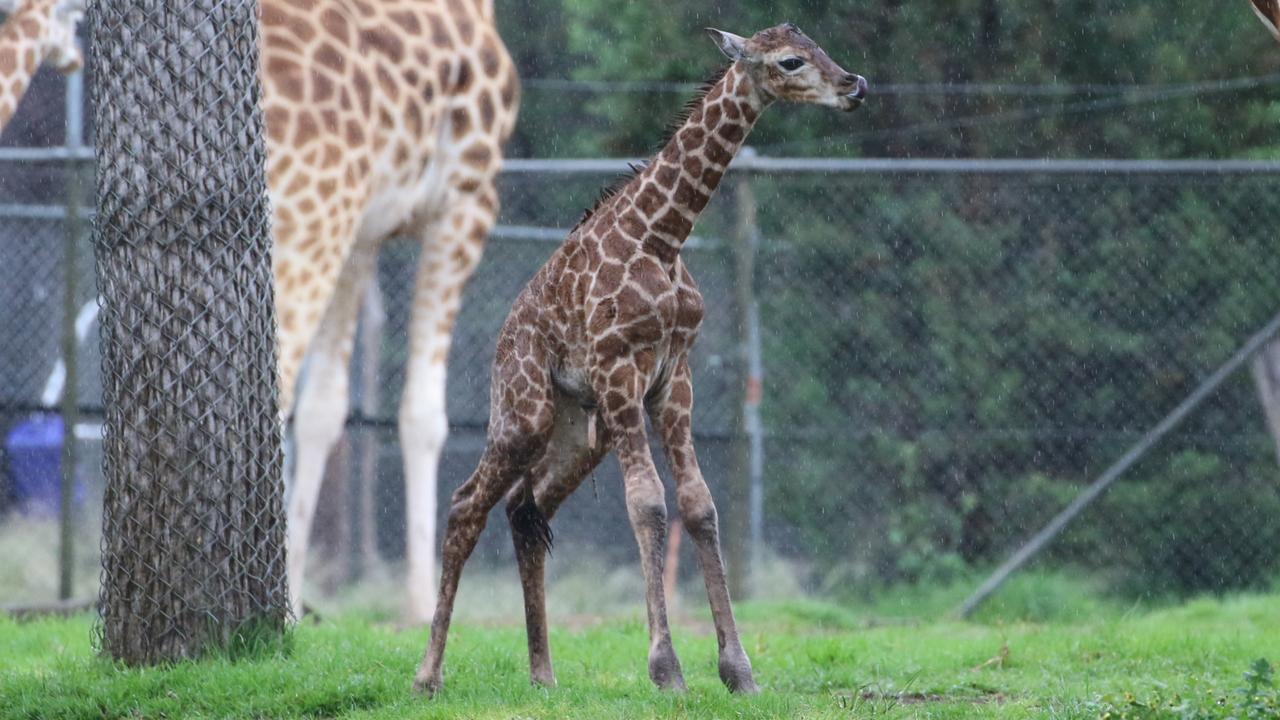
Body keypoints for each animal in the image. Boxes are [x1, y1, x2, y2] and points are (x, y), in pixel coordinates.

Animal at [257, 0, 517, 620]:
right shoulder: (466, 199)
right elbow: (423, 414)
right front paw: (423, 603)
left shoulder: (363, 234)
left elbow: (325, 410)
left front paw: (296, 596)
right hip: (308, 224)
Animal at [414, 23, 865, 696]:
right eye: (790, 61)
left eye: (818, 48)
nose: (854, 85)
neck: (663, 236)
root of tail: (502, 339)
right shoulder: (619, 368)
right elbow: (648, 504)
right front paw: (667, 669)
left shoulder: (672, 378)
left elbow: (699, 506)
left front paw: (738, 671)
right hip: (526, 412)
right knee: (467, 503)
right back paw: (427, 674)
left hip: (581, 430)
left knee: (524, 509)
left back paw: (543, 675)